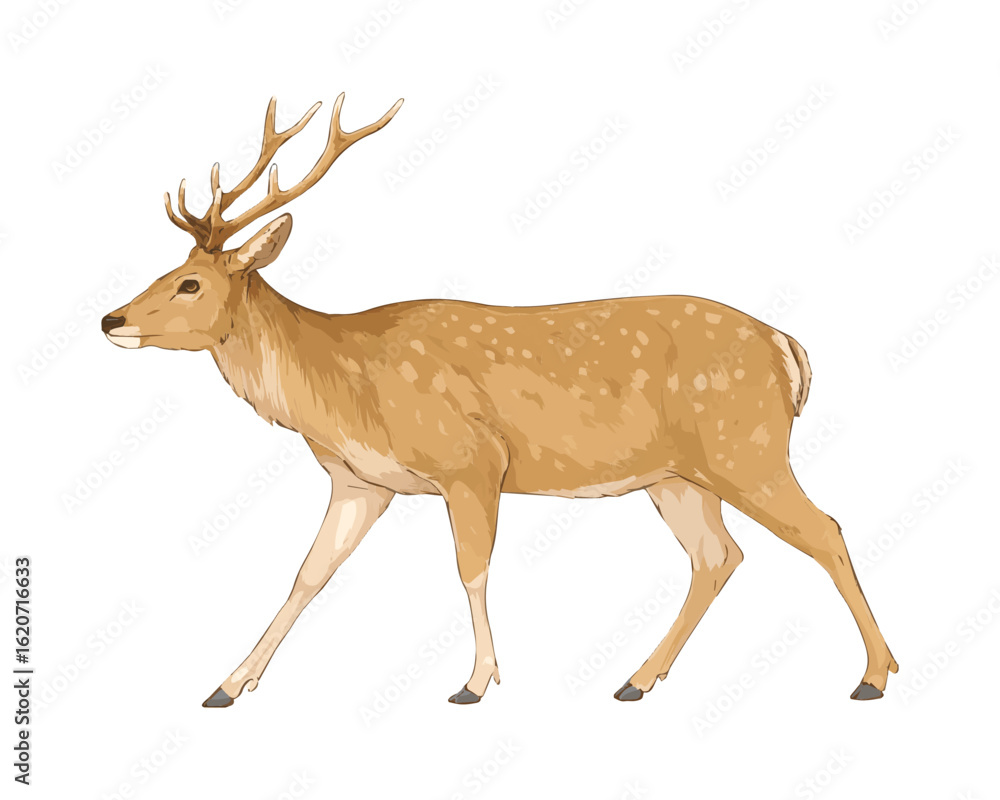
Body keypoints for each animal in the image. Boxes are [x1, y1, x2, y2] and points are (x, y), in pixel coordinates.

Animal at [102, 92, 897, 708]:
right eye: (168, 270)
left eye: (190, 283)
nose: (112, 319)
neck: (345, 385)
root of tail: (788, 347)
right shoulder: (360, 482)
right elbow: (307, 575)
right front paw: (227, 685)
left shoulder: (471, 460)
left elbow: (470, 568)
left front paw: (475, 683)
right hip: (677, 474)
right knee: (718, 556)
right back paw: (636, 681)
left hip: (746, 445)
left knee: (823, 529)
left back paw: (874, 677)